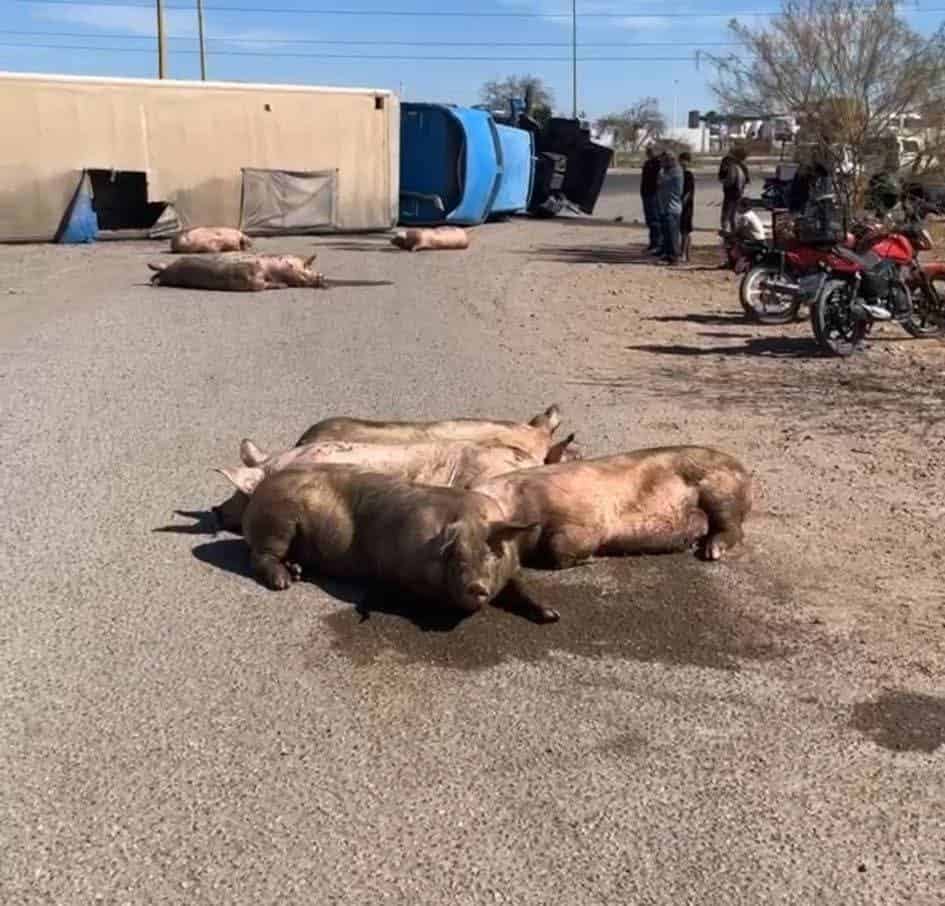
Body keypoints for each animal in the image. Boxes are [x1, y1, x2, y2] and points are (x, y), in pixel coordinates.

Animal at [240, 466, 556, 620]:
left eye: (492, 554)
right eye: (456, 556)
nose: (476, 585)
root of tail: (259, 490)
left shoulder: (513, 567)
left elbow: (522, 586)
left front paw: (553, 615)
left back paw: (296, 571)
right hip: (278, 521)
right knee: (260, 555)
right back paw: (284, 582)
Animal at [472, 444, 752, 564]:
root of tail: (744, 471)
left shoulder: (585, 520)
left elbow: (561, 546)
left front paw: (591, 560)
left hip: (720, 488)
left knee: (734, 527)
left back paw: (711, 552)